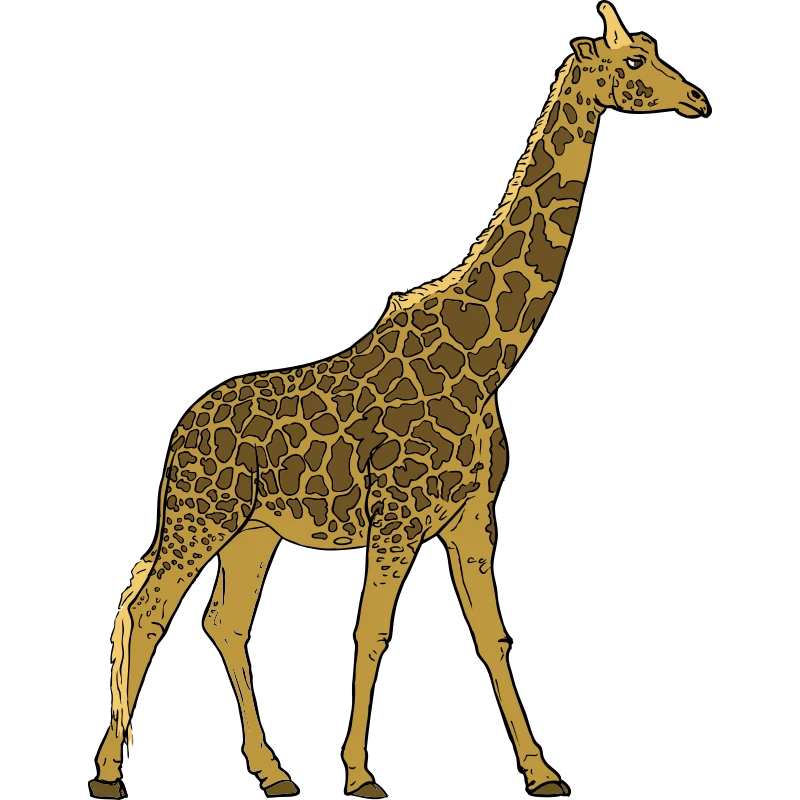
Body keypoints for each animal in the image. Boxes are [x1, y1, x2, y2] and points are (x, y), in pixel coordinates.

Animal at [89, 4, 707, 797]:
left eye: (654, 50)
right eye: (632, 63)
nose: (694, 98)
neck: (485, 361)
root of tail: (184, 428)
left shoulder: (471, 517)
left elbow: (492, 637)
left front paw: (540, 770)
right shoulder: (397, 519)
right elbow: (372, 631)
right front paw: (359, 774)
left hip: (254, 531)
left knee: (223, 621)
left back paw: (272, 771)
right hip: (202, 515)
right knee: (147, 604)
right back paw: (110, 765)